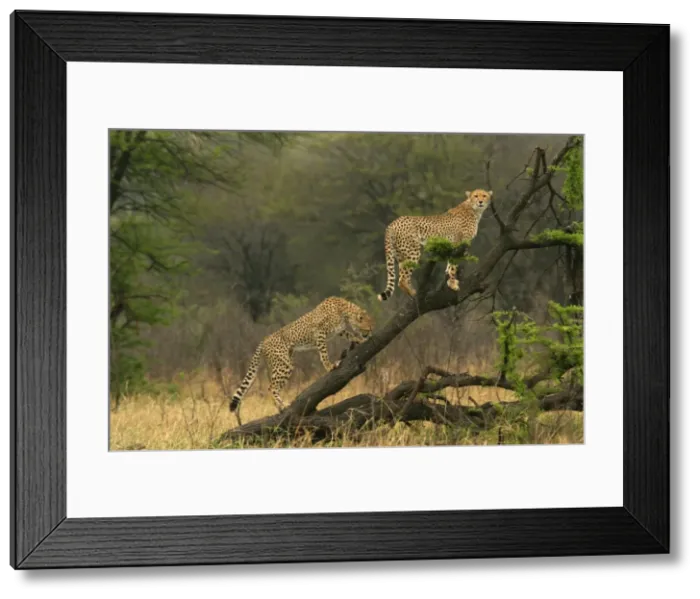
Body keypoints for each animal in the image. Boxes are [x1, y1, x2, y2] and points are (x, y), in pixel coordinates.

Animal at [229, 296, 375, 414]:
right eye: (368, 328)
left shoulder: (340, 331)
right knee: (271, 387)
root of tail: (264, 339)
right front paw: (329, 366)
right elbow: (323, 353)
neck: (344, 311)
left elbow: (350, 335)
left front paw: (360, 340)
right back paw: (282, 405)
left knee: (273, 386)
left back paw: (280, 407)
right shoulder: (319, 333)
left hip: (286, 363)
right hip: (284, 364)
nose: (370, 333)